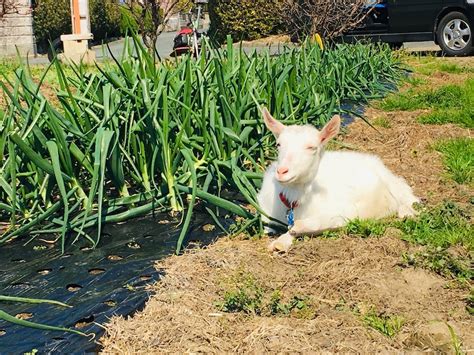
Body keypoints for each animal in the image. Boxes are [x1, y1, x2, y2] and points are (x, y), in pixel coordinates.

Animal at [256, 108, 418, 253]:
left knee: (407, 196)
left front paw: (283, 240)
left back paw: (407, 212)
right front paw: (280, 242)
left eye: (311, 147)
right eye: (278, 144)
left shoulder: (345, 212)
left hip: (391, 182)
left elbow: (302, 225)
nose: (282, 171)